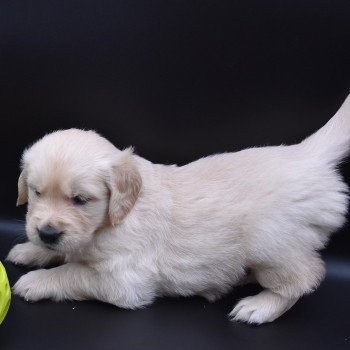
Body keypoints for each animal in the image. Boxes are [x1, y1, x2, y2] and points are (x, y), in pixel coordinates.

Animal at [6, 94, 350, 324]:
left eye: (80, 200)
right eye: (36, 192)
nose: (47, 233)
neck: (114, 218)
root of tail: (306, 155)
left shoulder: (125, 281)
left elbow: (73, 272)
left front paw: (36, 281)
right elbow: (67, 255)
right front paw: (31, 250)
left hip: (272, 244)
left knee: (305, 276)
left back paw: (259, 307)